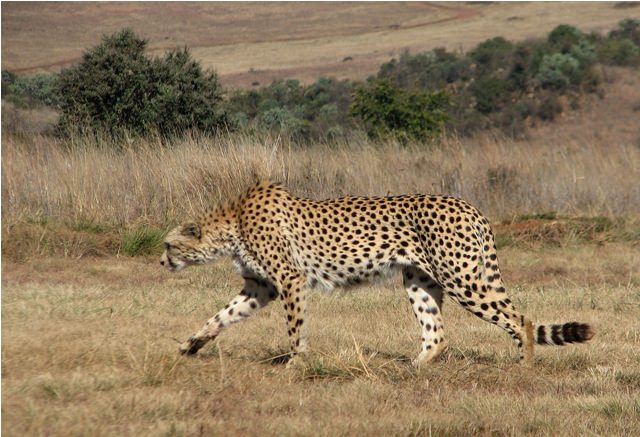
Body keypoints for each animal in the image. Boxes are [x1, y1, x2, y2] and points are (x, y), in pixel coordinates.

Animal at [160, 180, 594, 366]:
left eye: (167, 245)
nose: (161, 263)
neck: (231, 223)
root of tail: (469, 205)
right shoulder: (260, 287)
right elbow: (220, 317)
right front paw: (189, 346)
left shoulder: (290, 281)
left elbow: (295, 328)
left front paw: (297, 363)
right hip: (419, 280)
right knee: (437, 333)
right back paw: (414, 368)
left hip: (463, 279)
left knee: (520, 319)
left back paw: (524, 367)